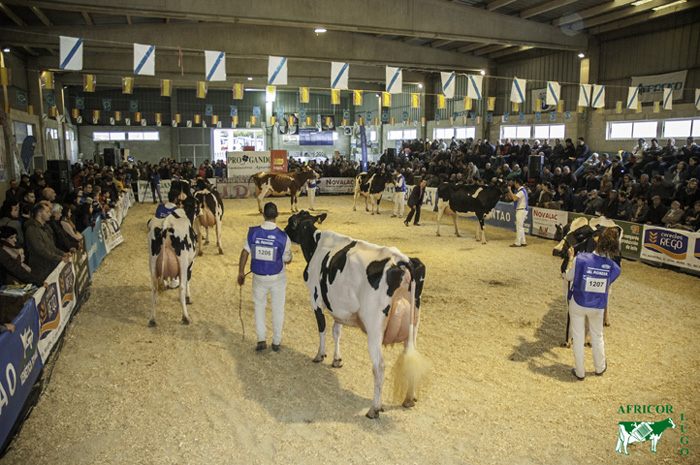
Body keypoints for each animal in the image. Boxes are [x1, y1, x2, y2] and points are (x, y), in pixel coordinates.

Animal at [147, 194, 198, 324]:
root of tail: (166, 225)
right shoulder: (191, 262)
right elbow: (188, 280)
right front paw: (189, 298)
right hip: (183, 261)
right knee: (182, 288)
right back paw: (185, 317)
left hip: (152, 262)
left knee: (154, 289)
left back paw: (152, 319)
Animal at [284, 210, 426, 416]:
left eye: (290, 222)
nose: (284, 230)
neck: (316, 243)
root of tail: (402, 259)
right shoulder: (339, 306)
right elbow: (337, 331)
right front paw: (337, 359)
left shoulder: (315, 296)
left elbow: (322, 328)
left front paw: (320, 355)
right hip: (414, 322)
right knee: (411, 355)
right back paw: (409, 398)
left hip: (375, 326)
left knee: (379, 365)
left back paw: (374, 408)